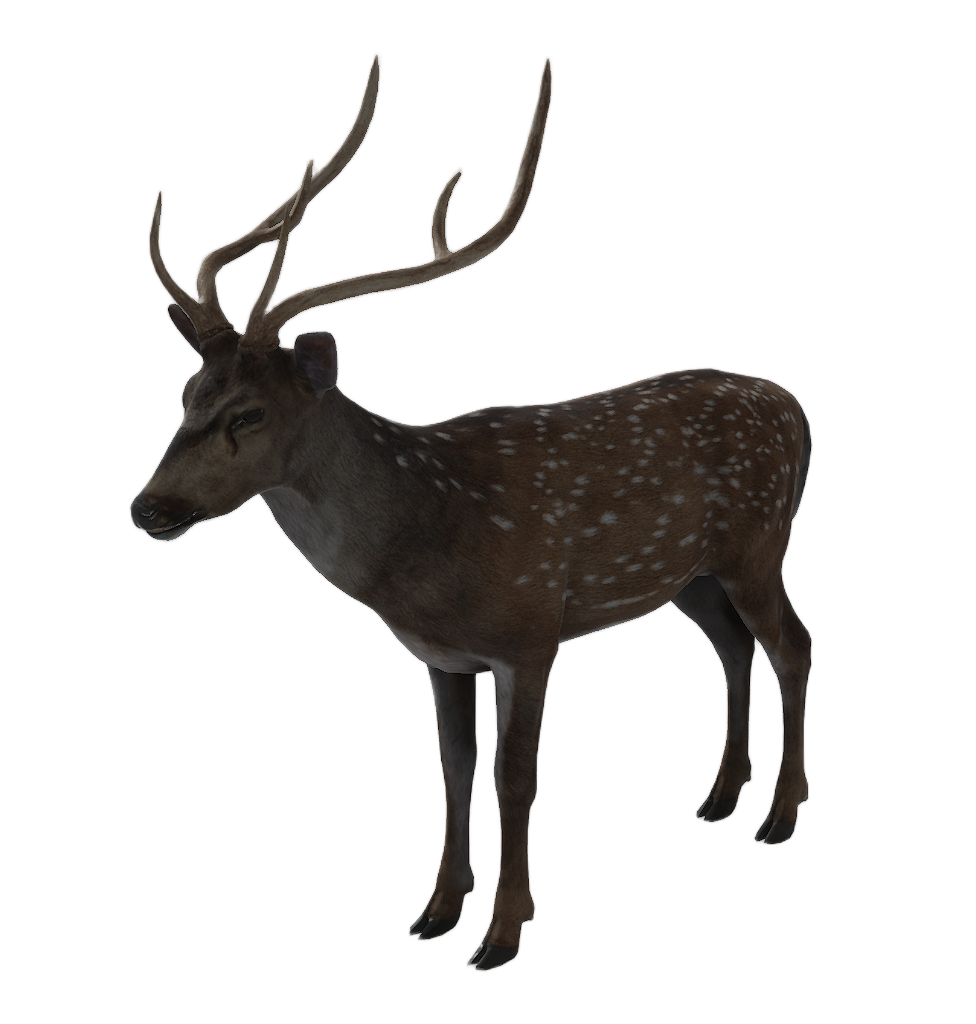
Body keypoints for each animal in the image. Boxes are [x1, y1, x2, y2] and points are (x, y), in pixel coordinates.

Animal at [130, 51, 813, 972]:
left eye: (249, 415)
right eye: (185, 396)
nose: (148, 507)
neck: (423, 546)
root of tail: (795, 407)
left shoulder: (530, 631)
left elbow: (514, 777)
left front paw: (503, 931)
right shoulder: (440, 654)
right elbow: (452, 769)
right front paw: (435, 910)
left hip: (759, 545)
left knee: (791, 645)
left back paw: (778, 816)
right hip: (689, 574)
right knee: (734, 647)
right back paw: (718, 796)